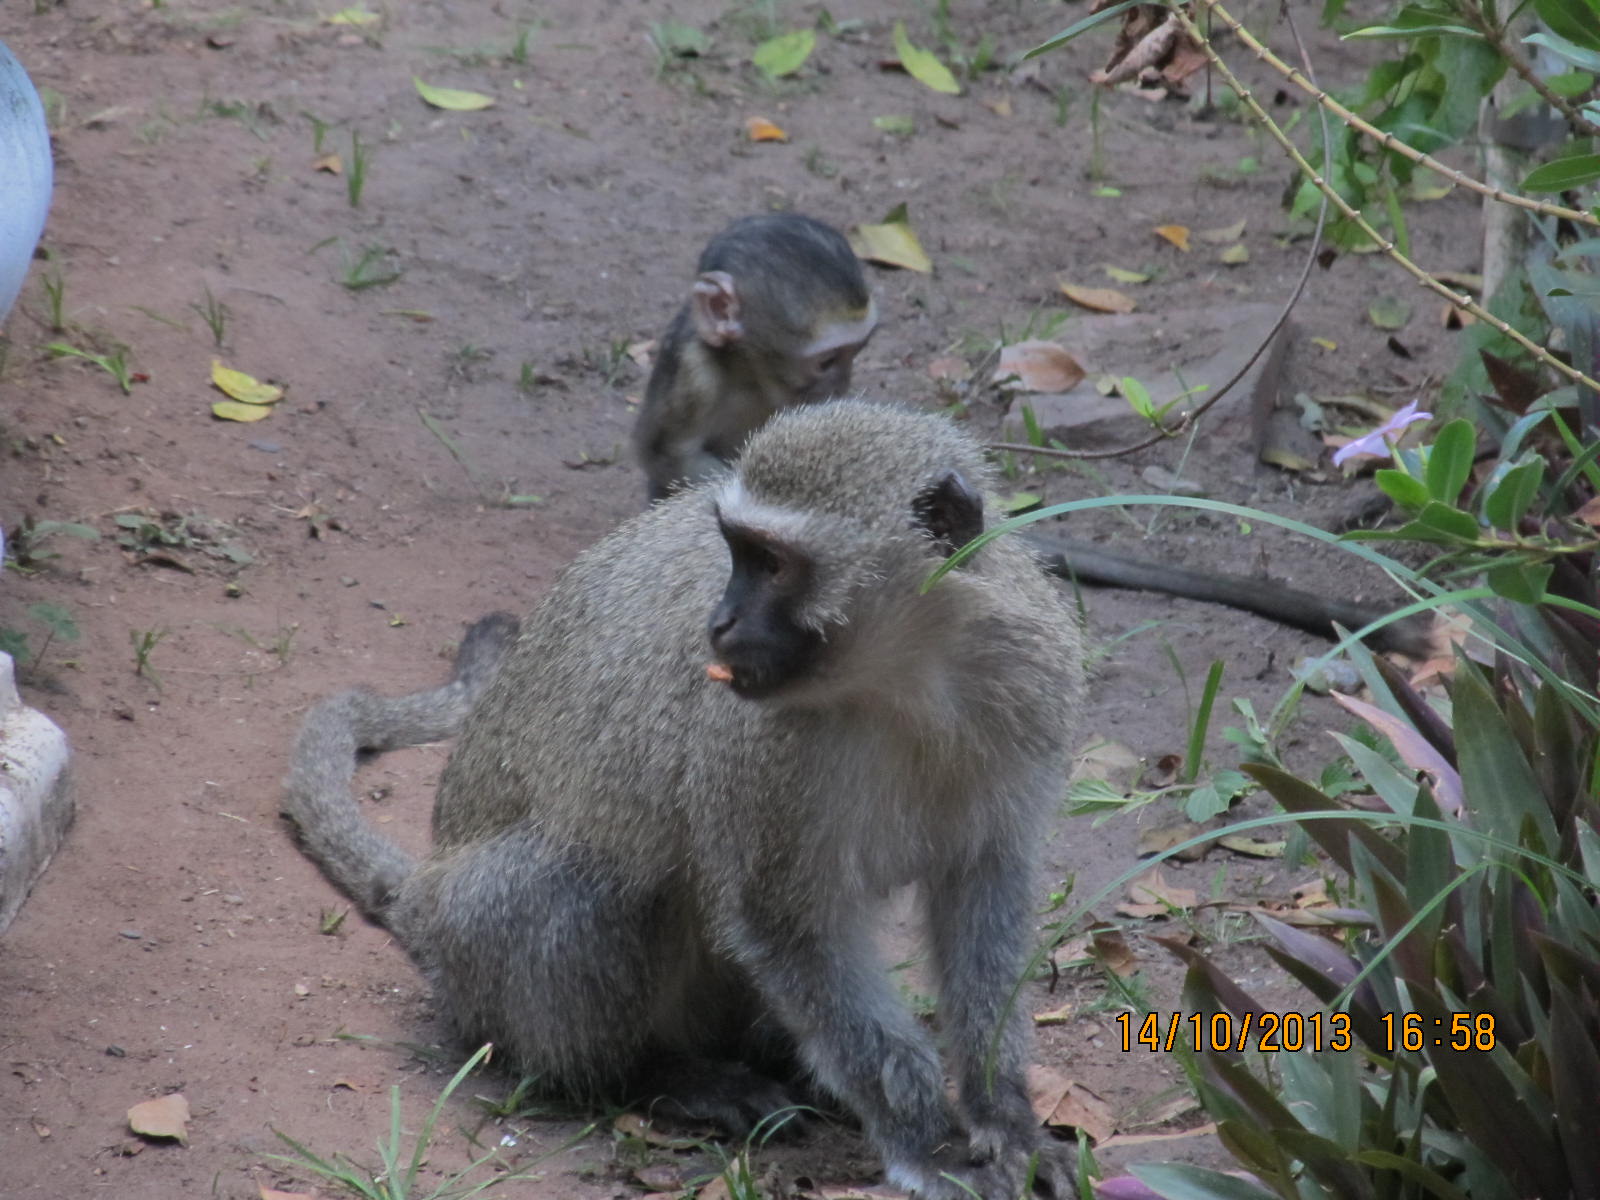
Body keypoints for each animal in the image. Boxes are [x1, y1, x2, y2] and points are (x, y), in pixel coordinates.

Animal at [286, 399, 1084, 1200]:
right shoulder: (756, 745)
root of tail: (423, 899)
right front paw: (928, 1142)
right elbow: (786, 927)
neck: (908, 676)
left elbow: (984, 891)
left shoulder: (1028, 677)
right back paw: (653, 1076)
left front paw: (1005, 1119)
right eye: (737, 550)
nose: (720, 623)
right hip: (473, 949)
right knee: (586, 884)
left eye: (772, 563)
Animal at [631, 212, 879, 502]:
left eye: (855, 352)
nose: (840, 386)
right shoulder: (694, 373)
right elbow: (671, 455)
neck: (748, 374)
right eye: (826, 362)